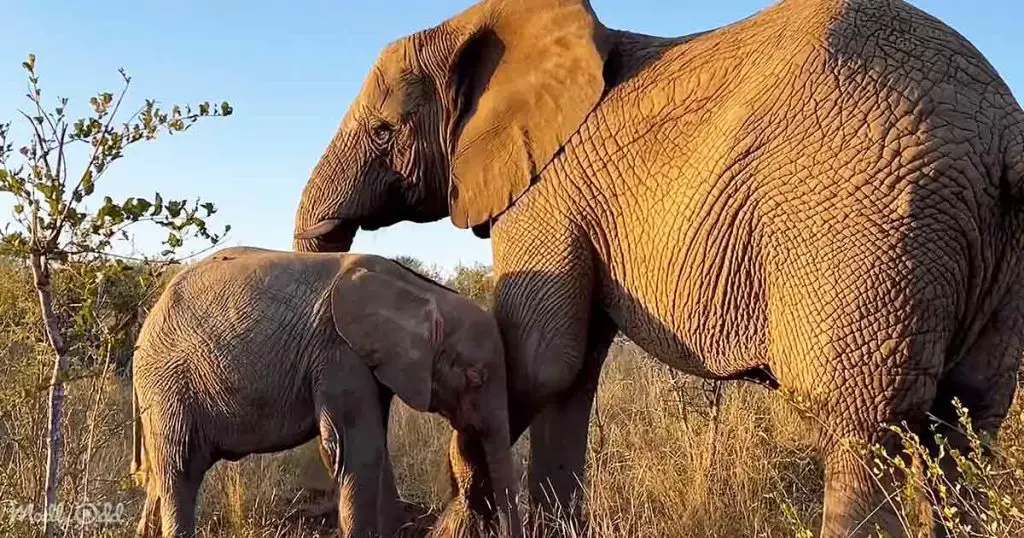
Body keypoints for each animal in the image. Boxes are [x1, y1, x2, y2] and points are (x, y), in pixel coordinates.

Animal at [130, 247, 520, 536]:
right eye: (475, 378)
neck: (421, 291)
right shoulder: (339, 353)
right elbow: (354, 451)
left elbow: (374, 447)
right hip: (167, 386)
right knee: (179, 469)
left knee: (160, 480)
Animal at [292, 1, 1019, 532]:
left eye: (384, 131)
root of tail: (1001, 132)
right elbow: (572, 373)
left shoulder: (547, 192)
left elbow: (540, 358)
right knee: (966, 424)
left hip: (865, 224)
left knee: (865, 426)